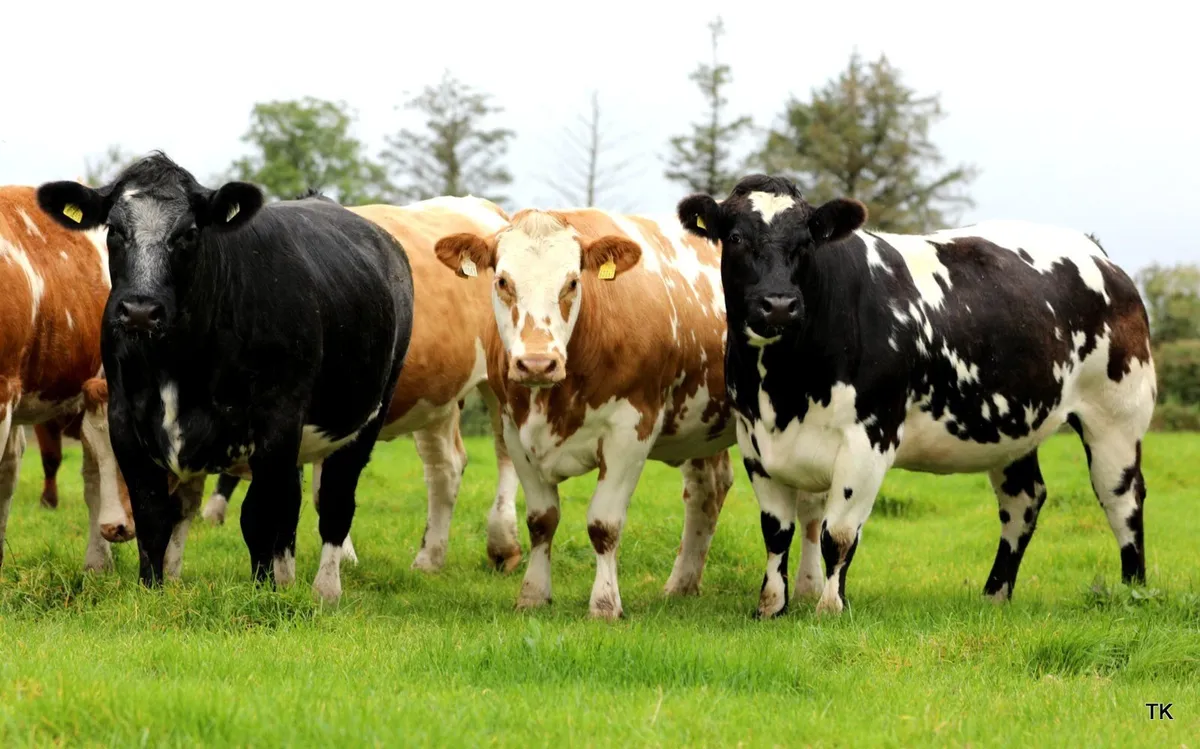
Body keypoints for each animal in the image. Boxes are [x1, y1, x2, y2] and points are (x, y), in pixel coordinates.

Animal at [35, 152, 415, 603]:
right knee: (292, 501)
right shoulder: (125, 419)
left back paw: (325, 590)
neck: (177, 362)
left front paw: (263, 595)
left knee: (336, 502)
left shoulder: (277, 418)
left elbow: (258, 517)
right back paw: (287, 579)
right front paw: (152, 593)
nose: (141, 310)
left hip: (368, 415)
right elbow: (153, 515)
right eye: (115, 230)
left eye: (189, 233)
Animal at [198, 197, 522, 573]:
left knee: (506, 452)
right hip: (437, 396)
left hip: (502, 381)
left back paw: (503, 546)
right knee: (446, 467)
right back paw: (429, 559)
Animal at [435, 207, 735, 619]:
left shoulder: (631, 431)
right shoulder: (515, 431)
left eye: (573, 282)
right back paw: (681, 585)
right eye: (502, 281)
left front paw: (605, 604)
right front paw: (533, 594)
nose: (537, 363)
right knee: (708, 490)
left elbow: (603, 524)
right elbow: (541, 520)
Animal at [677, 174, 1157, 617]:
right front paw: (771, 608)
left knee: (1122, 497)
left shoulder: (870, 438)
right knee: (1024, 499)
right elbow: (776, 531)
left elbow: (839, 533)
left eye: (807, 241)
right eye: (735, 238)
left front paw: (830, 608)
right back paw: (994, 595)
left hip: (1115, 415)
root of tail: (1095, 251)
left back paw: (1132, 592)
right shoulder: (754, 440)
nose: (778, 304)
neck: (783, 390)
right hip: (1015, 424)